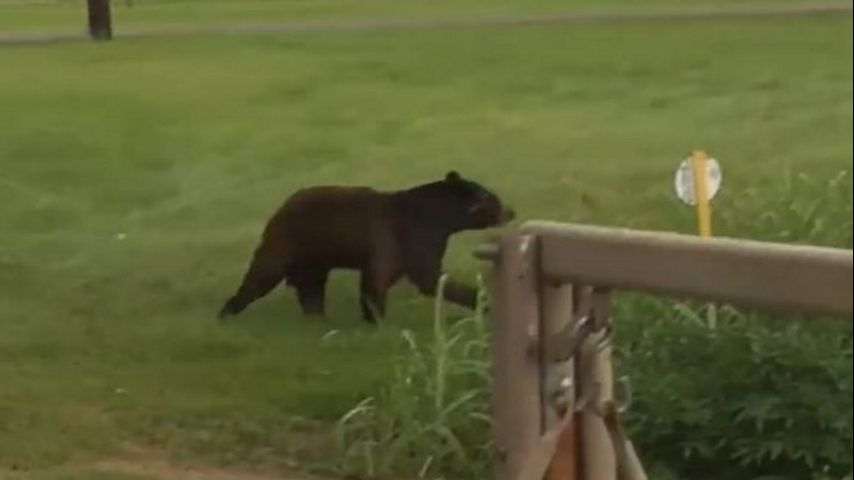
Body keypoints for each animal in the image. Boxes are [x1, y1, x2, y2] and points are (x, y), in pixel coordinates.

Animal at [218, 171, 514, 322]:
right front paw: (376, 320)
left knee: (311, 286)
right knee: (262, 274)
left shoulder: (424, 241)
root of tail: (281, 207)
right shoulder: (401, 237)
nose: (511, 211)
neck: (437, 217)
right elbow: (386, 279)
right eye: (494, 199)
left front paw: (483, 301)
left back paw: (316, 318)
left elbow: (432, 277)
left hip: (317, 255)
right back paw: (228, 312)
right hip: (288, 241)